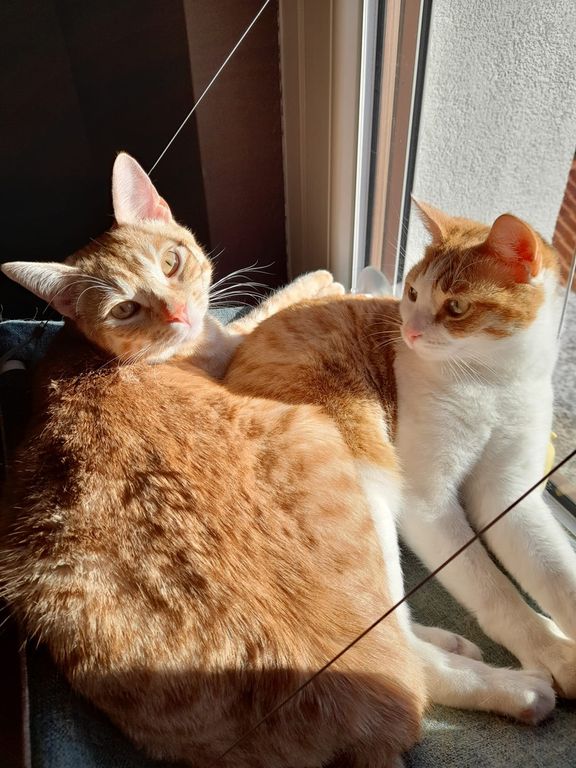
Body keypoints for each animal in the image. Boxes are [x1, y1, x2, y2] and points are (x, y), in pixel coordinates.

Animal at [0, 154, 426, 768]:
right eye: (125, 309)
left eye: (171, 261)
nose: (180, 313)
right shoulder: (234, 346)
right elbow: (266, 308)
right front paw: (319, 279)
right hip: (313, 425)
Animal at [394, 200, 576, 698]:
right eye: (412, 291)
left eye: (455, 305)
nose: (409, 331)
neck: (492, 384)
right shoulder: (426, 501)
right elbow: (492, 587)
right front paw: (549, 651)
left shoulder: (509, 492)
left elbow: (556, 572)